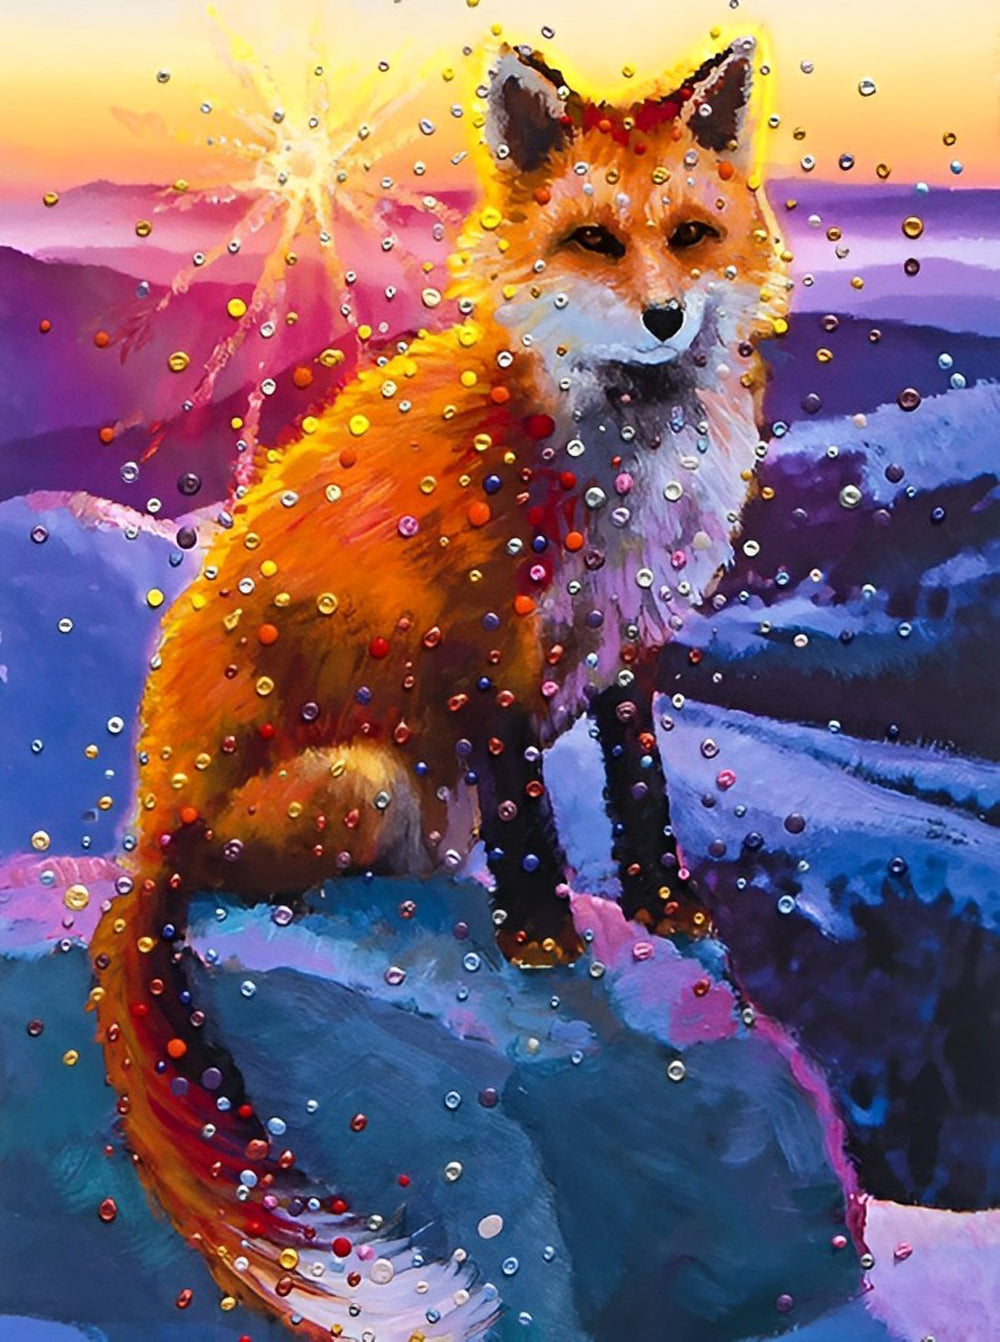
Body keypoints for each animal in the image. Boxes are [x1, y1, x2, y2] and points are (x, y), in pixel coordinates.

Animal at [89, 35, 788, 1342]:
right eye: (594, 241)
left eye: (689, 235)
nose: (665, 317)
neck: (617, 458)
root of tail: (150, 812)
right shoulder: (484, 651)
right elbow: (528, 817)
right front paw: (542, 939)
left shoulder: (624, 646)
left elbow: (641, 792)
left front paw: (667, 910)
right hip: (361, 784)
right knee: (243, 880)